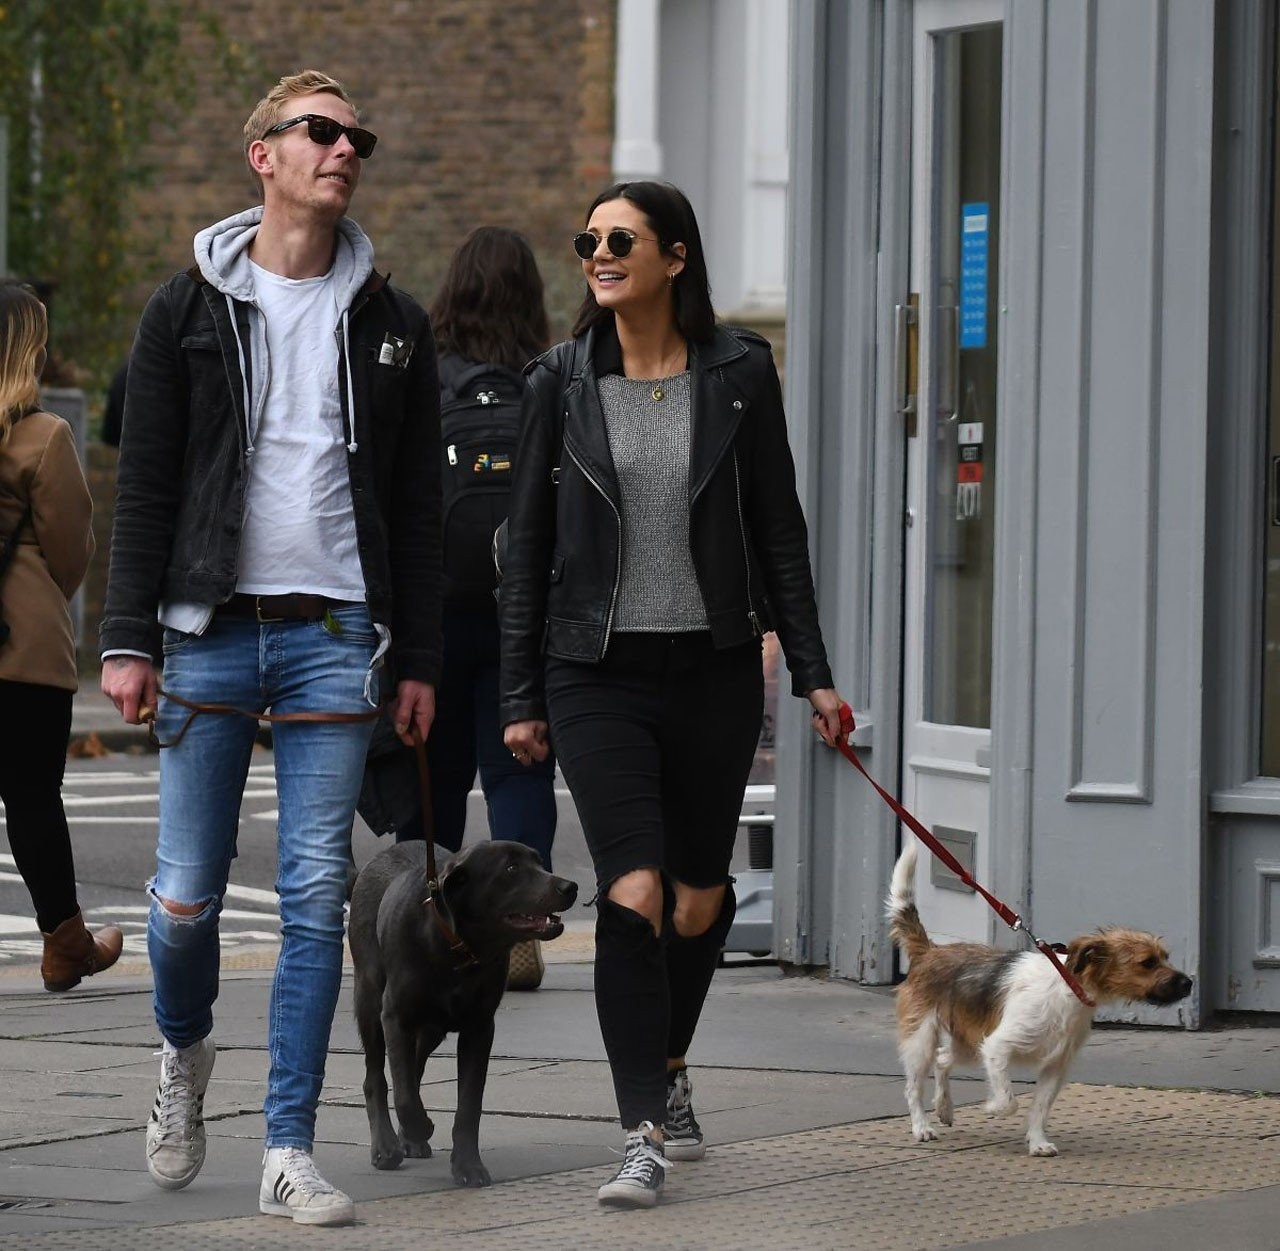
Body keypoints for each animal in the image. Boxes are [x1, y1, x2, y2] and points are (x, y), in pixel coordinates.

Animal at [345, 839, 576, 1183]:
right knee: (377, 1077)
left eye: (538, 862)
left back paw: (409, 1140)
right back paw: (387, 1147)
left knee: (414, 1069)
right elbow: (403, 1095)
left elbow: (468, 1104)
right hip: (370, 999)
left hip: (430, 1029)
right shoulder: (396, 1017)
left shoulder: (479, 1028)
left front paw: (468, 1166)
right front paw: (422, 1126)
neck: (457, 948)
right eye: (511, 868)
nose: (569, 886)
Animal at [890, 834, 1187, 1157]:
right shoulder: (998, 1048)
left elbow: (1040, 1109)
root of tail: (929, 951)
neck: (1068, 991)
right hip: (924, 1039)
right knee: (913, 1085)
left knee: (943, 1059)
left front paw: (1037, 1141)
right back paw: (921, 1126)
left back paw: (944, 1108)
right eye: (1147, 963)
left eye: (1166, 957)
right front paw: (993, 1108)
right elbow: (1009, 1100)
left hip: (969, 1043)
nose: (1189, 984)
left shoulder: (1054, 1066)